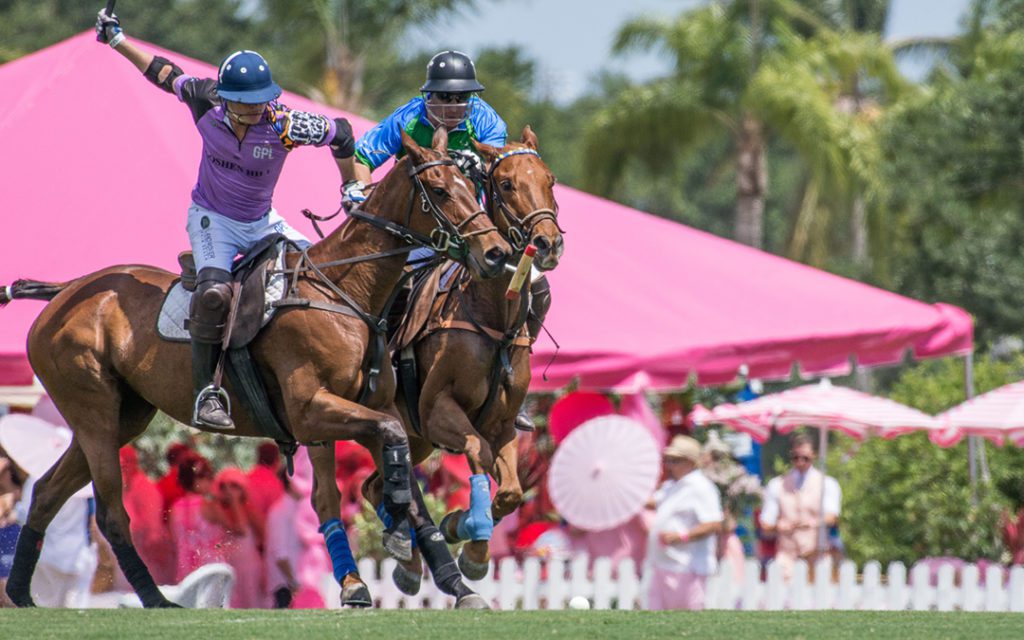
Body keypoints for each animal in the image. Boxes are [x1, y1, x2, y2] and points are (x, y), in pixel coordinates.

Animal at [1, 128, 507, 610]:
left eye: (472, 185)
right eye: (439, 191)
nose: (497, 253)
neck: (346, 293)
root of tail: (68, 290)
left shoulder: (361, 413)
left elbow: (406, 481)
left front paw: (457, 584)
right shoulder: (311, 411)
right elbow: (390, 447)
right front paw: (397, 545)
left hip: (123, 416)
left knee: (45, 492)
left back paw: (23, 593)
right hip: (94, 412)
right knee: (109, 513)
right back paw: (155, 598)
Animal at [368, 127, 561, 589]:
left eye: (550, 180)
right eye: (506, 184)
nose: (548, 243)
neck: (491, 317)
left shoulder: (503, 424)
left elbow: (510, 491)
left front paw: (464, 535)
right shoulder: (439, 411)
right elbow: (479, 452)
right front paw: (469, 536)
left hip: (416, 439)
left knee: (374, 486)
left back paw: (409, 563)